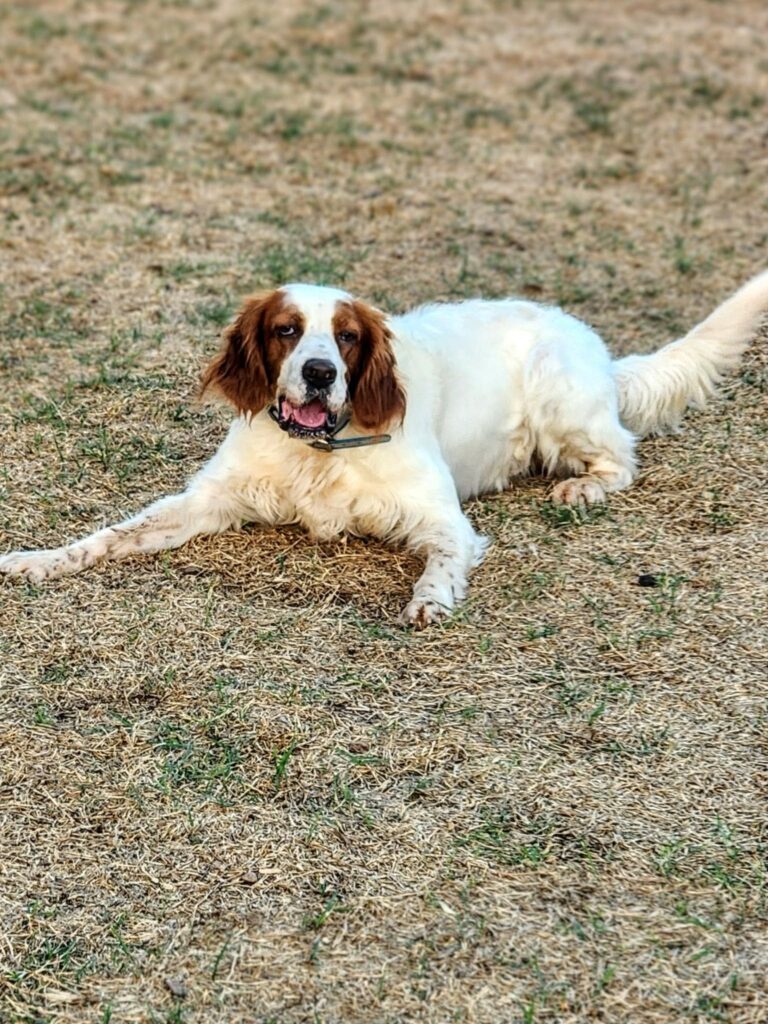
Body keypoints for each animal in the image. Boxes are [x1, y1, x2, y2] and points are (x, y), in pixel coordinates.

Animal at [1, 273, 766, 626]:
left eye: (345, 337)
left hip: (562, 396)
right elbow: (106, 536)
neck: (319, 450)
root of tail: (601, 354)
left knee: (623, 455)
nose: (319, 373)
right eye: (285, 329)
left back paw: (582, 487)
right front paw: (38, 560)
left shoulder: (444, 519)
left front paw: (430, 601)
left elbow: (443, 560)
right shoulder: (205, 502)